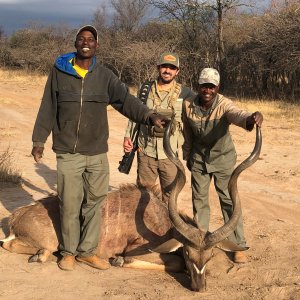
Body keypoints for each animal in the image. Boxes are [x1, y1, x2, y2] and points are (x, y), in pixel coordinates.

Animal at [0, 118, 262, 292]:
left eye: (209, 256)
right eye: (188, 253)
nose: (200, 288)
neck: (159, 219)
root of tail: (16, 217)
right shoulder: (139, 248)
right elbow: (171, 263)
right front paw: (117, 260)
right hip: (48, 242)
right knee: (15, 246)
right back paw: (39, 256)